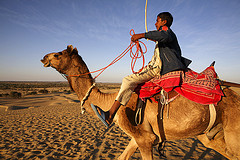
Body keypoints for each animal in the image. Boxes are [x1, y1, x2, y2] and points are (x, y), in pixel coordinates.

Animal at [41, 45, 240, 160]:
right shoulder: (138, 137)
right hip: (210, 134)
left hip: (233, 131)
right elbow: (121, 157)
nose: (44, 57)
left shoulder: (145, 139)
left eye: (58, 54)